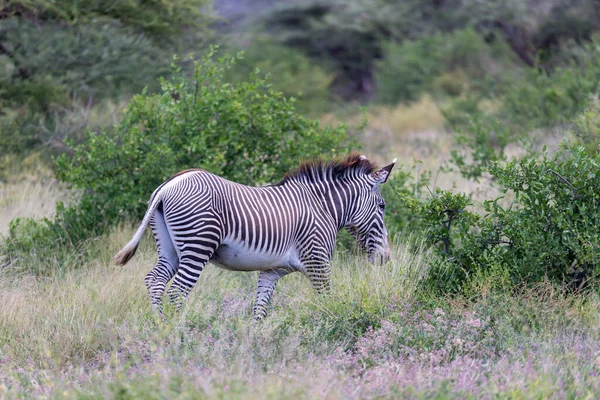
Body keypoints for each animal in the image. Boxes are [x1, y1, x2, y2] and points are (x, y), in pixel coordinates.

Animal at [114, 153, 396, 318]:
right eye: (382, 206)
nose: (385, 258)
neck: (322, 207)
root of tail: (168, 186)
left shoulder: (271, 271)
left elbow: (259, 311)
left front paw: (257, 344)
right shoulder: (317, 260)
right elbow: (328, 298)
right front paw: (332, 322)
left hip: (169, 248)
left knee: (155, 280)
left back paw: (160, 326)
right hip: (198, 244)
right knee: (177, 291)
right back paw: (180, 333)